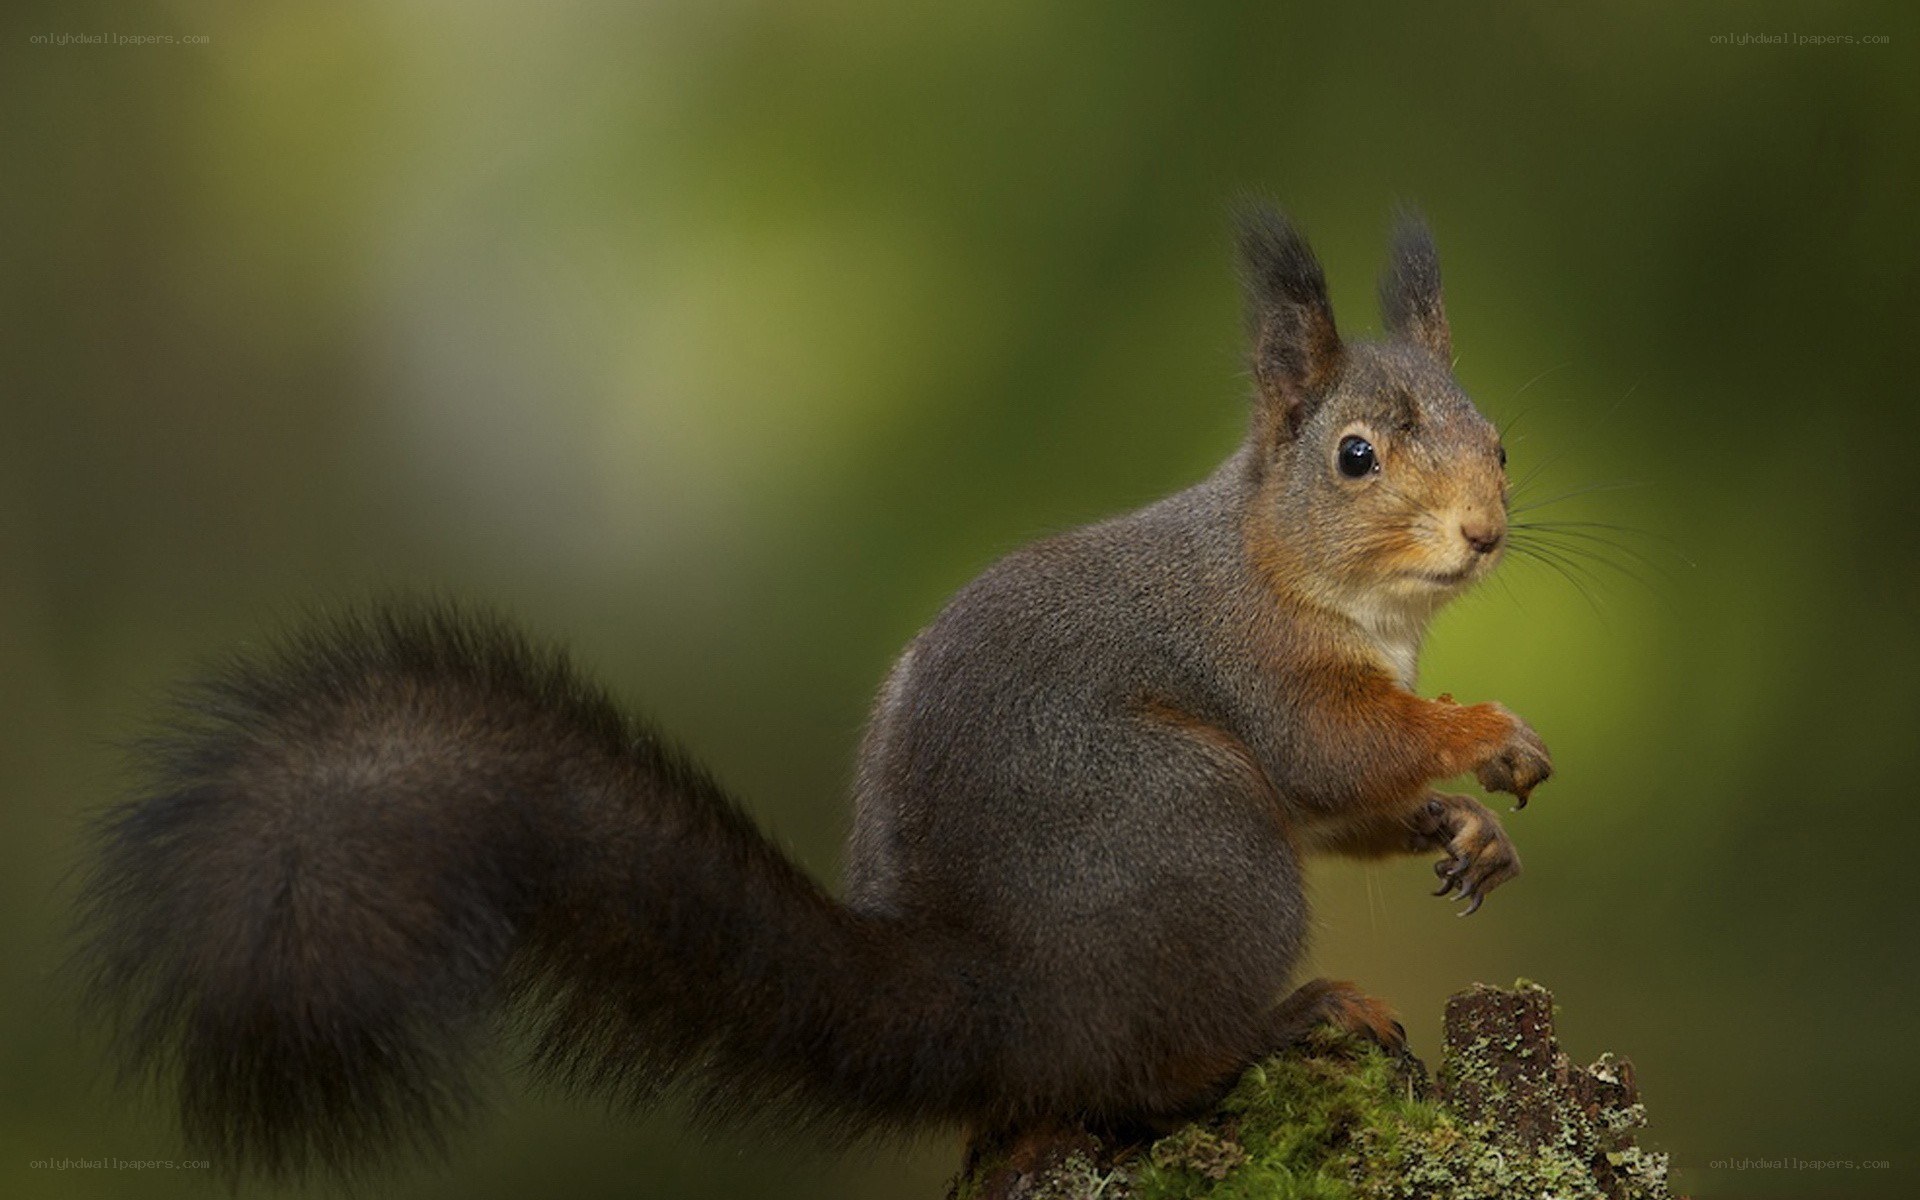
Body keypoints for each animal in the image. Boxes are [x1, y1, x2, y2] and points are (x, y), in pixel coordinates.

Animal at [73, 203, 1551, 1185]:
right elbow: (1335, 754)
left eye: (1499, 439)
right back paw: (1290, 1021)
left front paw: (1467, 828)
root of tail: (994, 1005)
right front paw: (1482, 735)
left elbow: (1359, 805)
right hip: (1197, 839)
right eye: (1355, 456)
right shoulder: (1254, 665)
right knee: (1151, 1070)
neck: (1302, 572)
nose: (1485, 534)